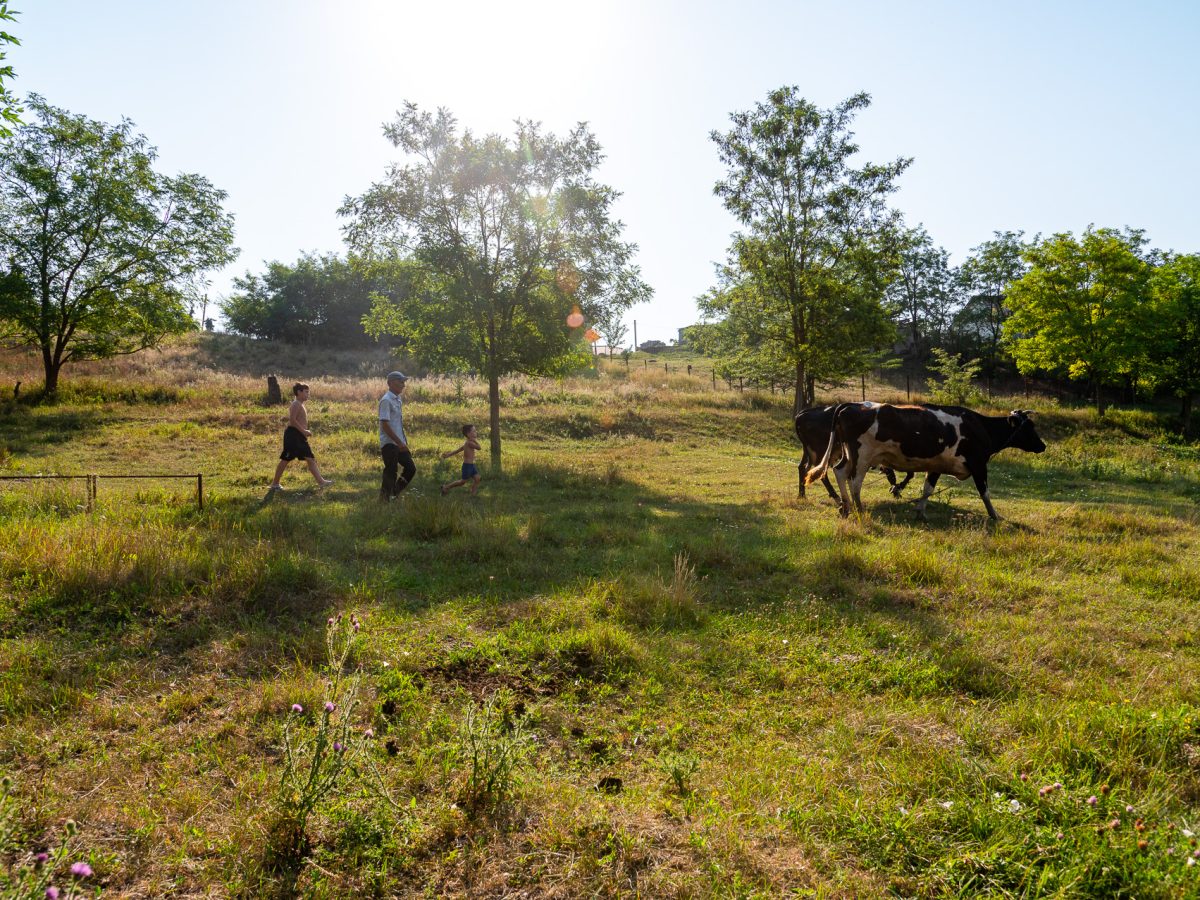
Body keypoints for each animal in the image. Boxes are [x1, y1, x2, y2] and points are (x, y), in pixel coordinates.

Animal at [811, 403, 1046, 520]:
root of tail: (847, 406)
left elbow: (927, 489)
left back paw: (845, 506)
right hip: (863, 455)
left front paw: (920, 512)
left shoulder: (937, 466)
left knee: (840, 471)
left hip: (850, 455)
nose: (1043, 446)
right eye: (1029, 427)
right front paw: (994, 515)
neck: (981, 428)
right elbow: (985, 493)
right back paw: (858, 507)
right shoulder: (979, 464)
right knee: (855, 481)